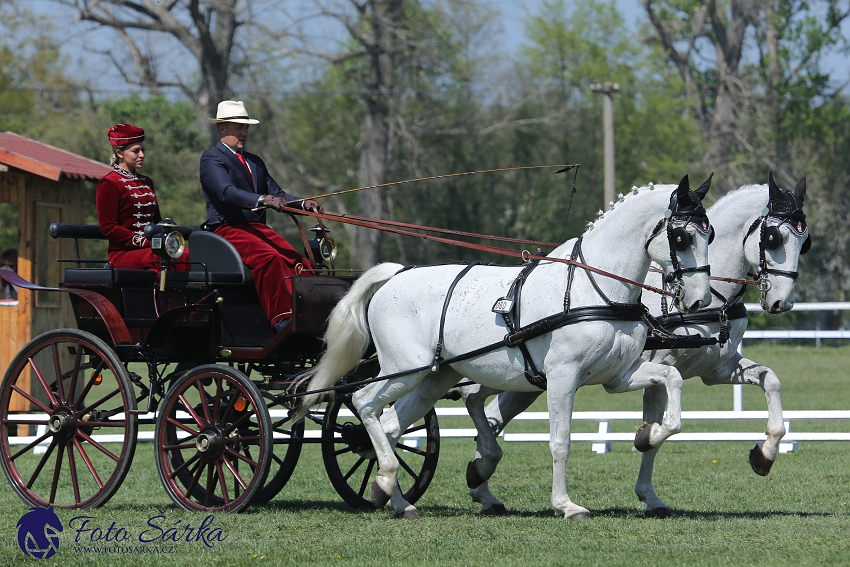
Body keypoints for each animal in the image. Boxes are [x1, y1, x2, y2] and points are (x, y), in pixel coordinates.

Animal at [294, 176, 712, 520]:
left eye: (709, 235)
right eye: (681, 238)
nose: (700, 300)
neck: (592, 288)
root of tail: (396, 274)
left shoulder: (618, 376)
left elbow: (672, 382)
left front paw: (649, 435)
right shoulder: (563, 377)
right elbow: (560, 441)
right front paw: (566, 505)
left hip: (434, 378)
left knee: (392, 424)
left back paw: (394, 497)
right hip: (403, 370)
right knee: (365, 403)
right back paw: (388, 482)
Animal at [448, 172, 804, 520]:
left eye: (805, 242)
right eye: (773, 237)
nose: (781, 303)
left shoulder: (716, 369)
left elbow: (771, 381)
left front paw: (764, 454)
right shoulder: (659, 369)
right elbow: (659, 431)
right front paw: (648, 479)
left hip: (527, 381)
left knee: (486, 411)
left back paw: (482, 483)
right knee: (477, 400)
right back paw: (483, 480)